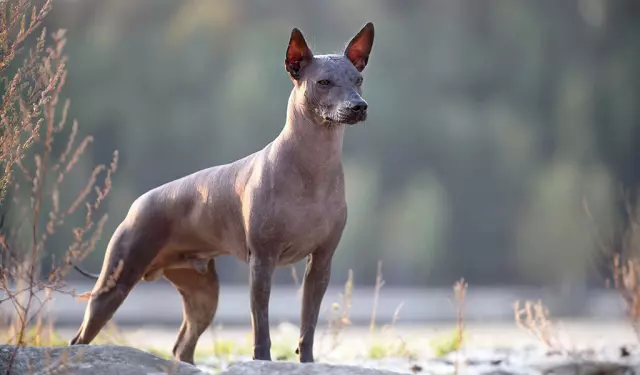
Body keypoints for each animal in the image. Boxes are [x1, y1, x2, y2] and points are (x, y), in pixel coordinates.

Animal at [71, 21, 376, 368]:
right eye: (324, 82)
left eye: (358, 80)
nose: (358, 106)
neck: (313, 166)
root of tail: (137, 205)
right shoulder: (262, 262)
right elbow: (261, 326)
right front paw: (263, 361)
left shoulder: (321, 263)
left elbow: (307, 325)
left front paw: (308, 363)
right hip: (115, 283)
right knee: (81, 338)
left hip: (203, 295)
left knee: (183, 347)